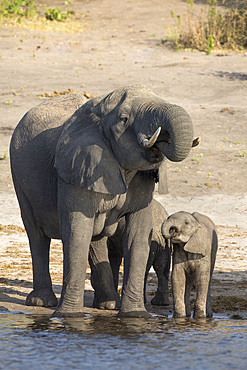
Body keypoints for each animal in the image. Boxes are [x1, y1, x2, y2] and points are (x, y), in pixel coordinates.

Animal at [10, 84, 197, 318]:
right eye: (124, 119)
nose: (162, 136)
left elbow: (137, 238)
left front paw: (135, 316)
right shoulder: (75, 170)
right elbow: (77, 234)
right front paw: (68, 317)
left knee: (96, 238)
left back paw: (108, 304)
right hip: (20, 179)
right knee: (36, 234)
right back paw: (42, 302)